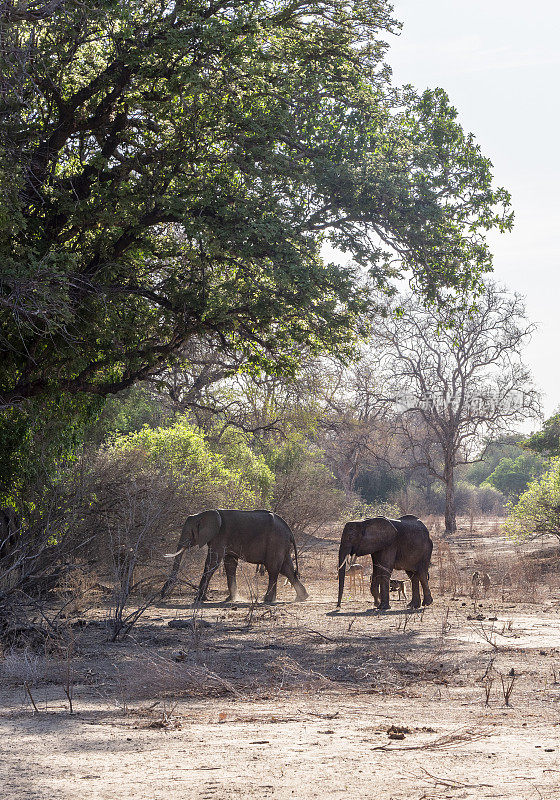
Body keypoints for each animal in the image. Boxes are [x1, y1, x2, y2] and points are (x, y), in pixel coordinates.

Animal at [162, 510, 308, 604]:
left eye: (189, 532)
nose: (163, 594)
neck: (202, 514)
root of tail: (290, 531)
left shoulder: (220, 536)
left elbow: (212, 562)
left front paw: (198, 599)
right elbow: (229, 564)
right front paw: (230, 599)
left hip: (276, 542)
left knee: (273, 569)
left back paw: (267, 600)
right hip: (282, 545)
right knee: (287, 569)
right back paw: (302, 598)